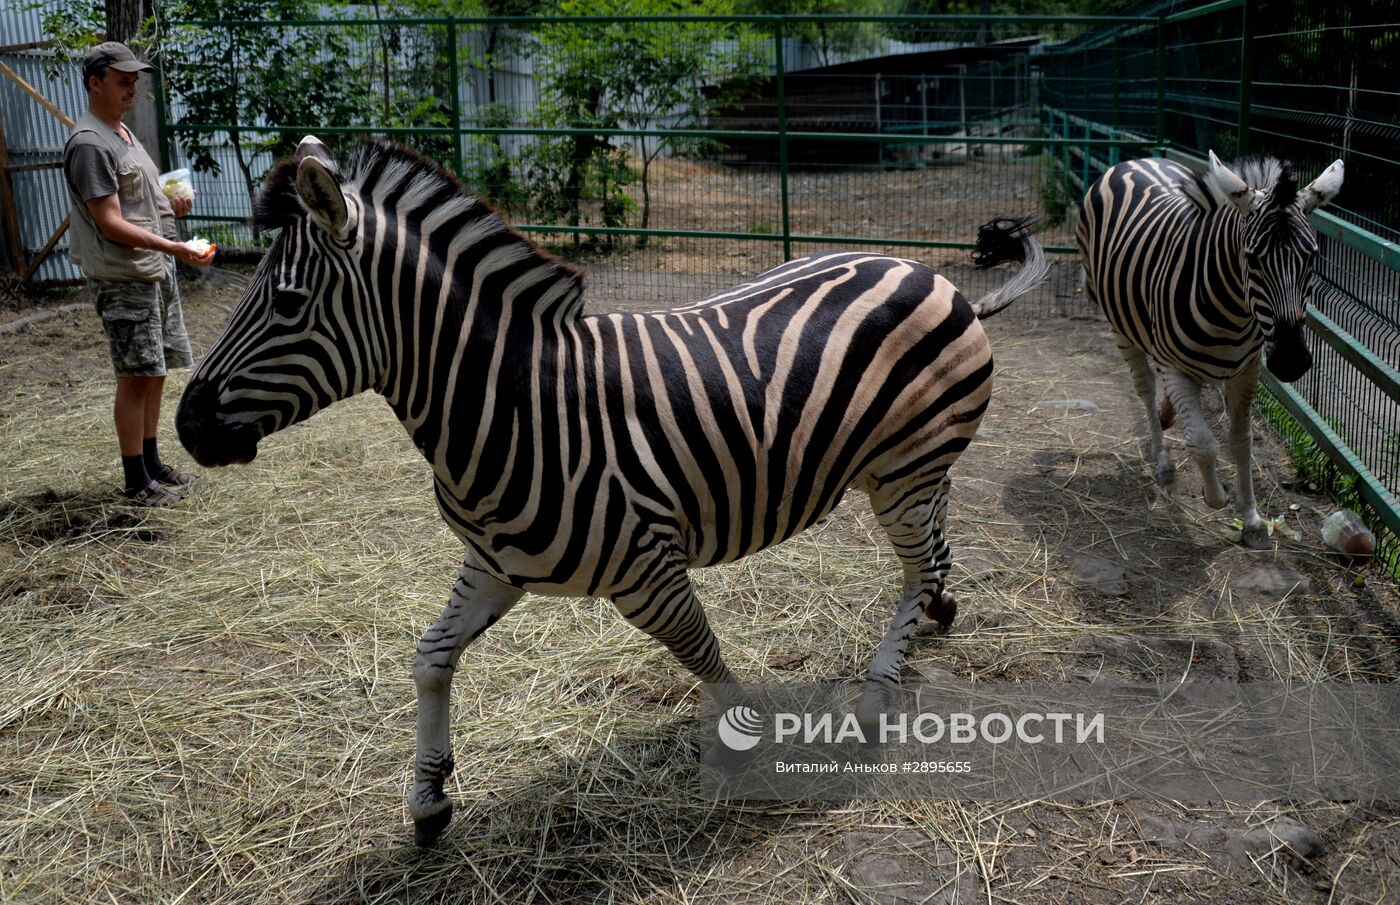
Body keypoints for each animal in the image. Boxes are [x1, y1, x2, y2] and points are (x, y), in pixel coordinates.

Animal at [175, 137, 1047, 846]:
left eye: (287, 303)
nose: (186, 426)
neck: (516, 403)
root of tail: (928, 271)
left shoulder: (646, 570)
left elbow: (705, 655)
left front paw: (751, 741)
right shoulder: (493, 562)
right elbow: (430, 659)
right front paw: (428, 798)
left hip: (903, 467)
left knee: (916, 561)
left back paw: (876, 692)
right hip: (906, 469)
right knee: (932, 550)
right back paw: (935, 614)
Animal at [1075, 152, 1338, 549]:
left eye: (1312, 256)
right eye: (1252, 259)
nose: (1291, 361)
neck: (1234, 313)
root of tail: (1137, 159)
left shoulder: (1248, 369)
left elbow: (1241, 442)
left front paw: (1252, 520)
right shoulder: (1175, 369)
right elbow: (1203, 444)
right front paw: (1216, 497)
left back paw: (1169, 414)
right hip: (1122, 328)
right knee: (1145, 389)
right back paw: (1164, 461)